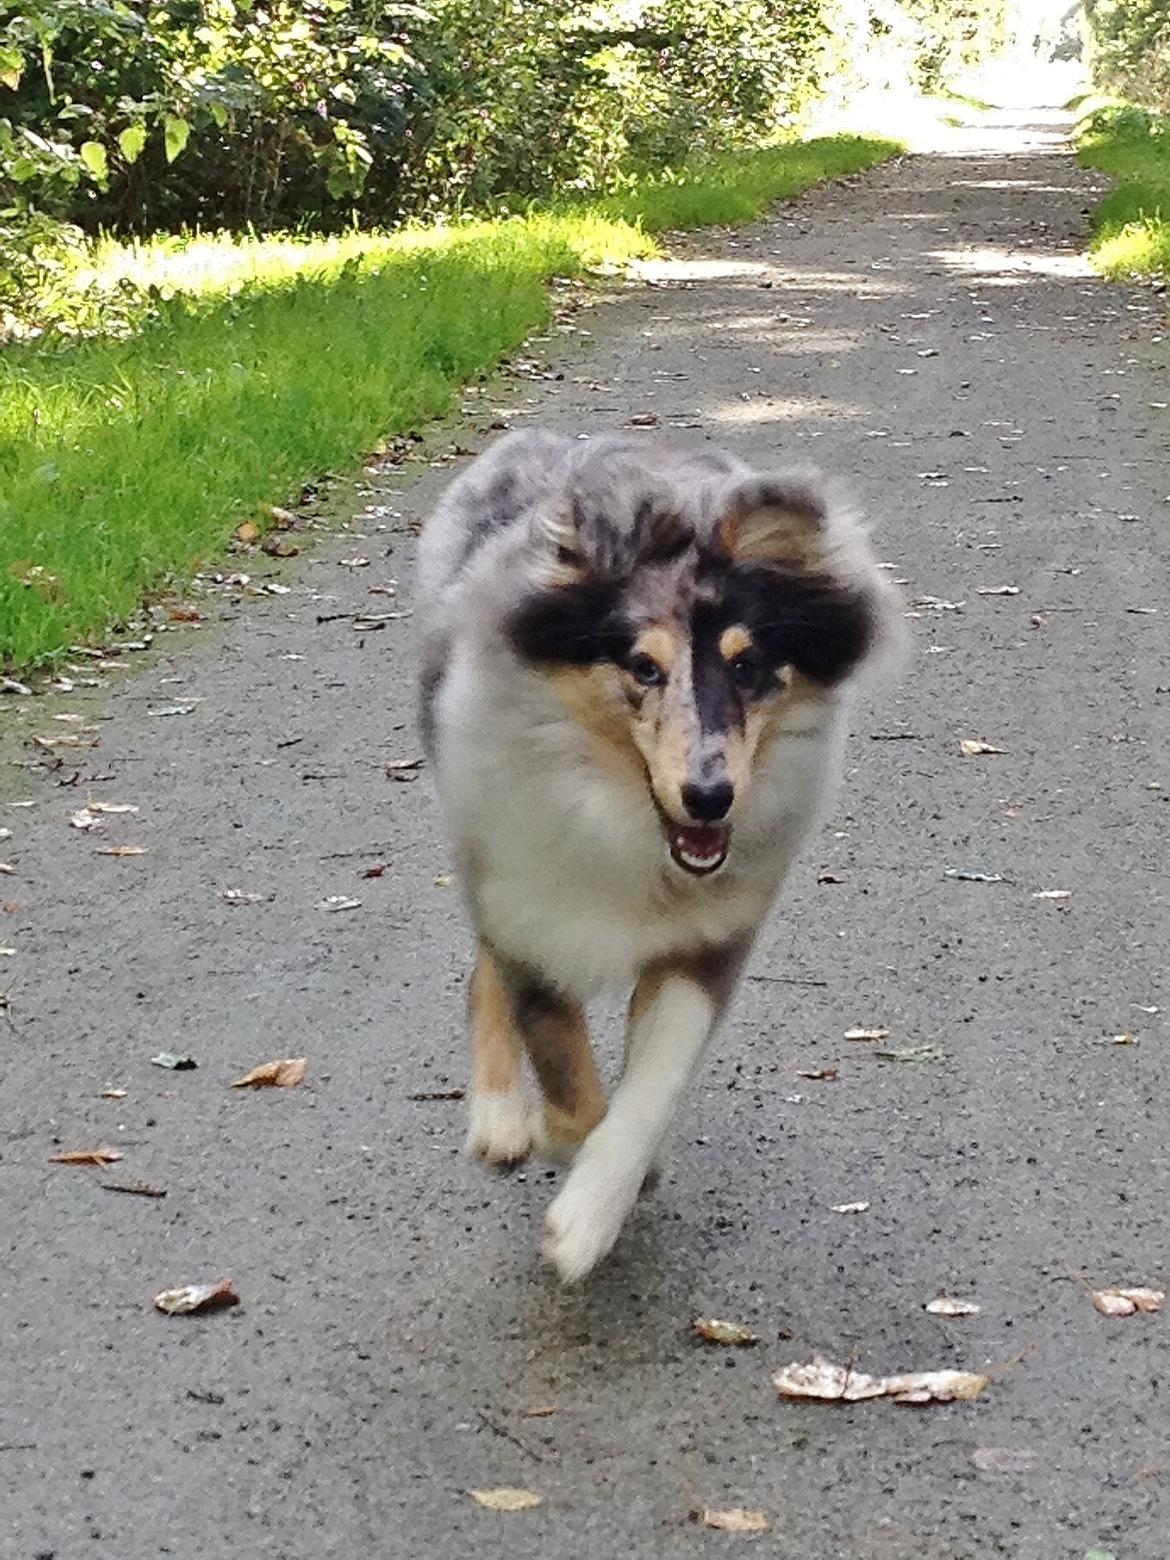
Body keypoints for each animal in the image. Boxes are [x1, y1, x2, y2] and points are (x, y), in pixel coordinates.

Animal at [421, 430, 898, 1279]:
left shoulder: (710, 935)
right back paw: (500, 1122)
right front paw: (562, 1163)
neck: (627, 825)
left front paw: (595, 1206)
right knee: (481, 976)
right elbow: (565, 1072)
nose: (710, 797)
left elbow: (653, 1083)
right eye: (643, 666)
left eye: (748, 665)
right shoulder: (527, 909)